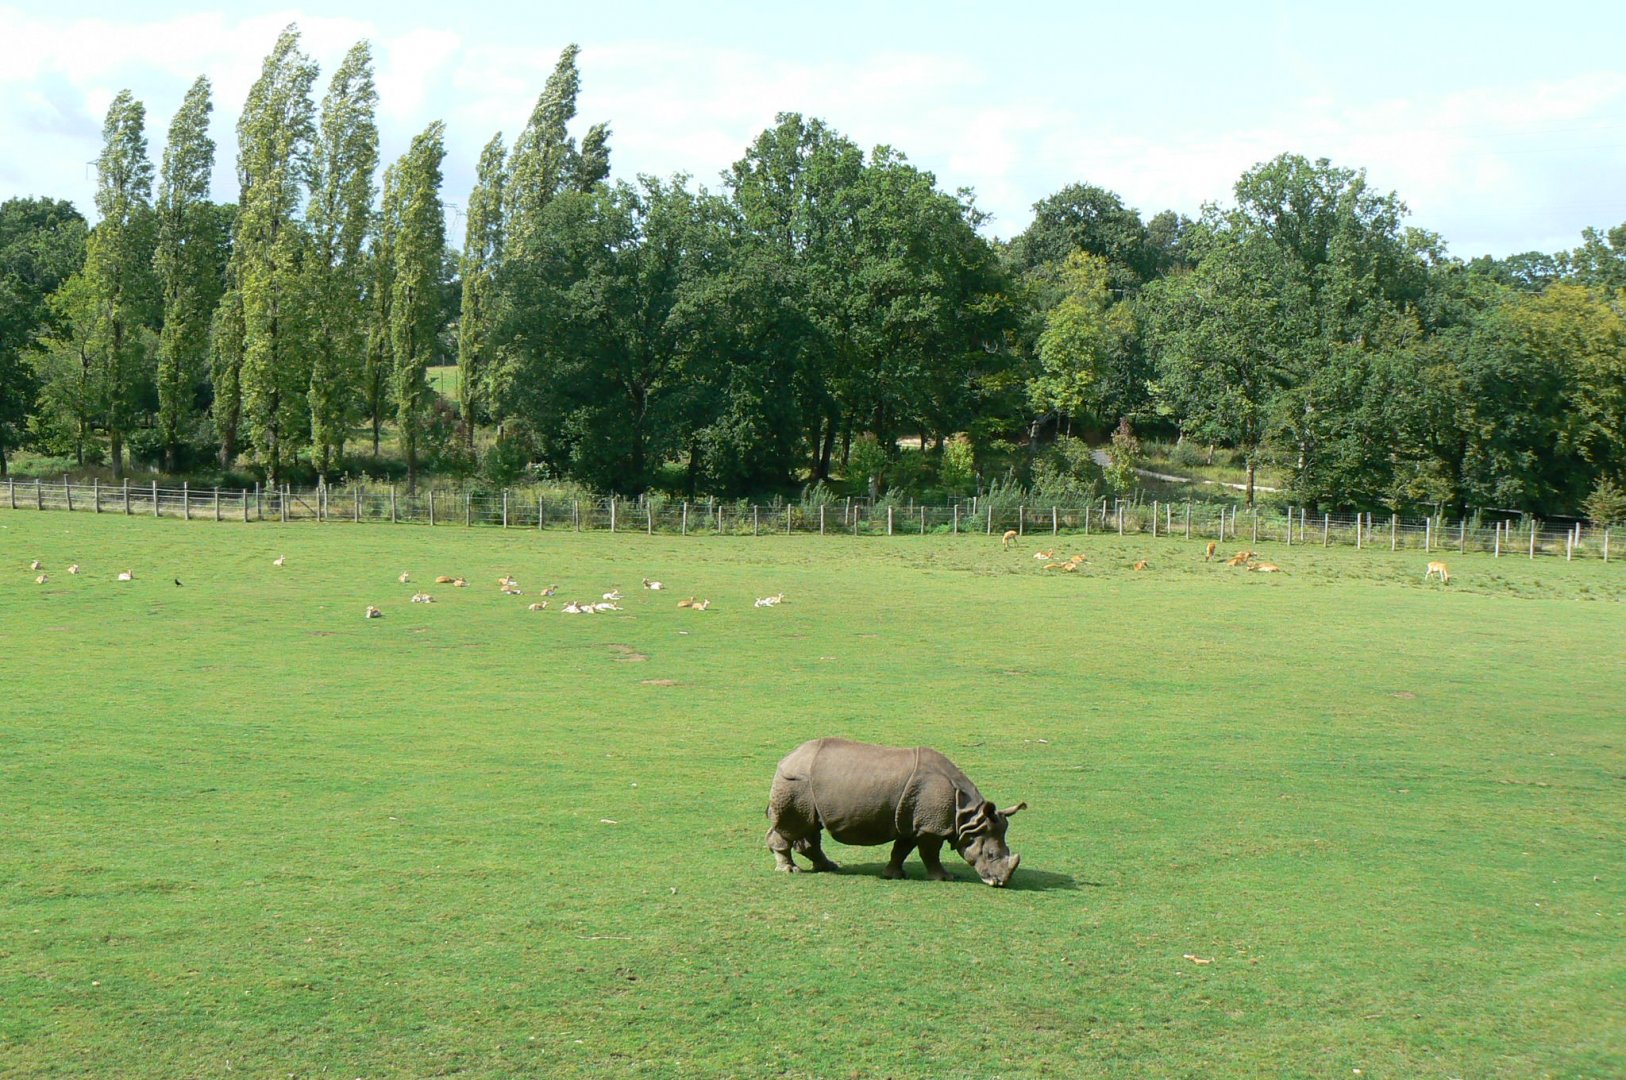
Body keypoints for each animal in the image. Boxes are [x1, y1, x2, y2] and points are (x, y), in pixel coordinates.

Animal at [765, 738, 1027, 887]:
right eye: (991, 855)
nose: (1000, 883)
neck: (967, 816)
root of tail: (787, 757)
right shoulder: (930, 827)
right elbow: (930, 853)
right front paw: (945, 878)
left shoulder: (913, 823)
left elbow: (901, 849)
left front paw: (893, 874)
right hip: (796, 782)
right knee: (793, 826)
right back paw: (790, 870)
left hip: (805, 787)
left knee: (810, 826)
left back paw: (829, 867)